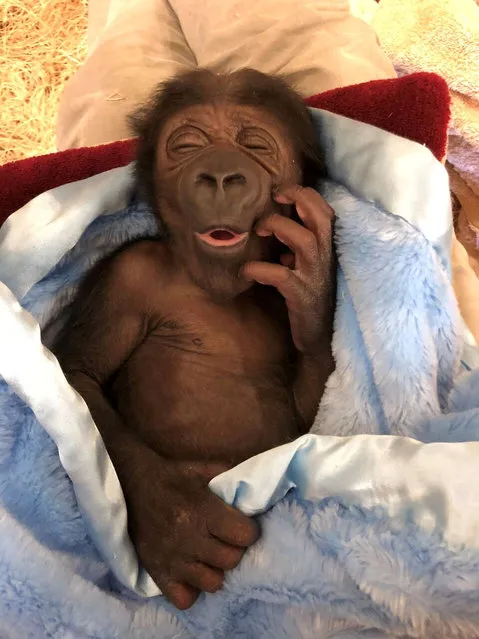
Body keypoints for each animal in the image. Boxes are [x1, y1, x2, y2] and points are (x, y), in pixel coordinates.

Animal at [53, 67, 338, 612]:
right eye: (187, 146)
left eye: (255, 145)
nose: (222, 173)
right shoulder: (129, 275)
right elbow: (79, 374)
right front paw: (174, 522)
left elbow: (308, 415)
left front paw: (313, 284)